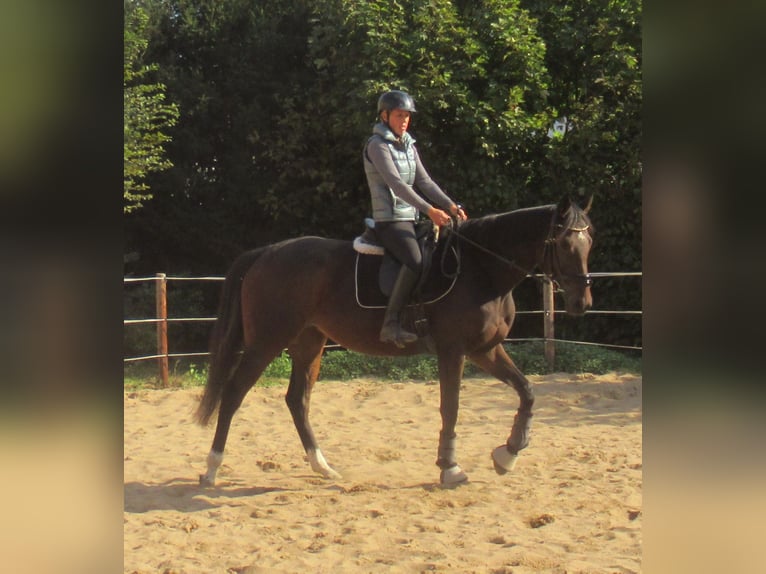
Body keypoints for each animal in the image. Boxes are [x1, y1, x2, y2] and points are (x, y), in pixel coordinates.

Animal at [196, 196, 594, 486]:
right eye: (564, 243)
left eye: (589, 242)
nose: (582, 303)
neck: (481, 270)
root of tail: (266, 252)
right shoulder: (453, 351)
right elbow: (451, 407)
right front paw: (450, 468)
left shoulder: (485, 350)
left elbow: (527, 391)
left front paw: (508, 454)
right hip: (266, 342)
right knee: (233, 394)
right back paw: (212, 468)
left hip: (309, 343)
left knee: (297, 400)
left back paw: (322, 466)